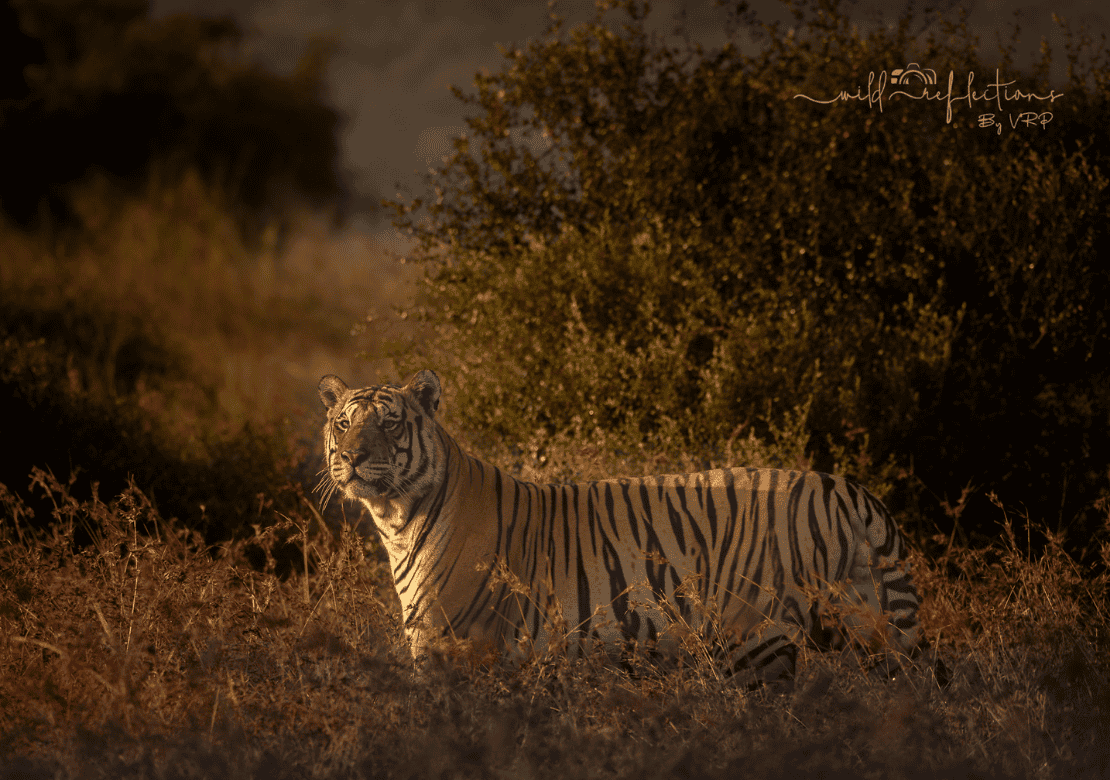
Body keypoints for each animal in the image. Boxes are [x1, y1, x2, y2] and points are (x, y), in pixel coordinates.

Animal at [317, 369, 933, 684]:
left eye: (389, 423)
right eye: (343, 423)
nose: (350, 457)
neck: (397, 518)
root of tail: (846, 488)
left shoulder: (454, 645)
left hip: (755, 636)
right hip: (860, 622)